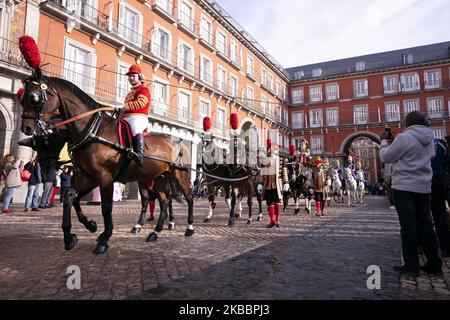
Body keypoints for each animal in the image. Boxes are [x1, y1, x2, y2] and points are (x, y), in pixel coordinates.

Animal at [20, 73, 193, 255]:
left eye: (34, 97)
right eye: (22, 99)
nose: (26, 127)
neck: (92, 130)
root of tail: (178, 141)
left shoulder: (104, 177)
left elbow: (106, 207)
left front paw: (104, 237)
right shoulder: (87, 177)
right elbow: (70, 198)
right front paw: (76, 233)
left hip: (179, 175)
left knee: (188, 198)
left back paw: (189, 227)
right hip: (158, 177)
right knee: (164, 202)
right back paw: (155, 232)